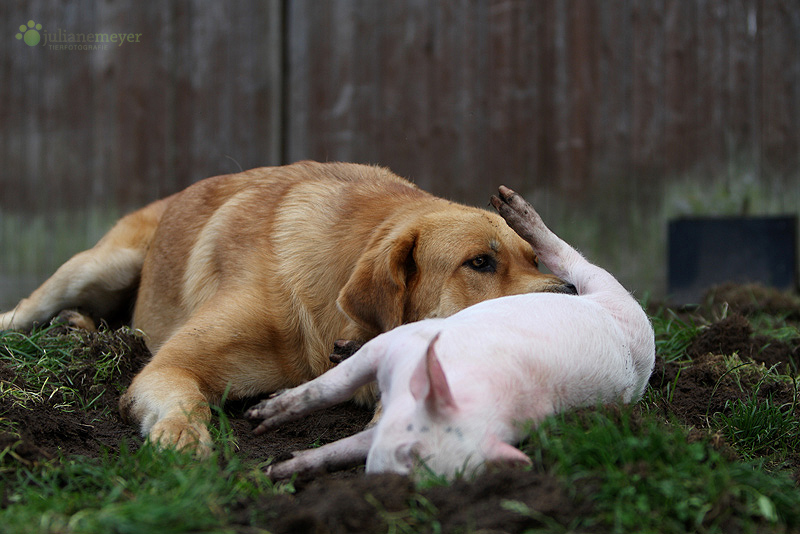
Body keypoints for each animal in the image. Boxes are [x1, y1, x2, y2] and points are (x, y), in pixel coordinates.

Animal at [1, 161, 576, 454]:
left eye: (536, 257)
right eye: (480, 262)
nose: (570, 293)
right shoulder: (170, 366)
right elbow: (183, 397)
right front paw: (183, 435)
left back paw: (87, 330)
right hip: (100, 265)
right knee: (24, 312)